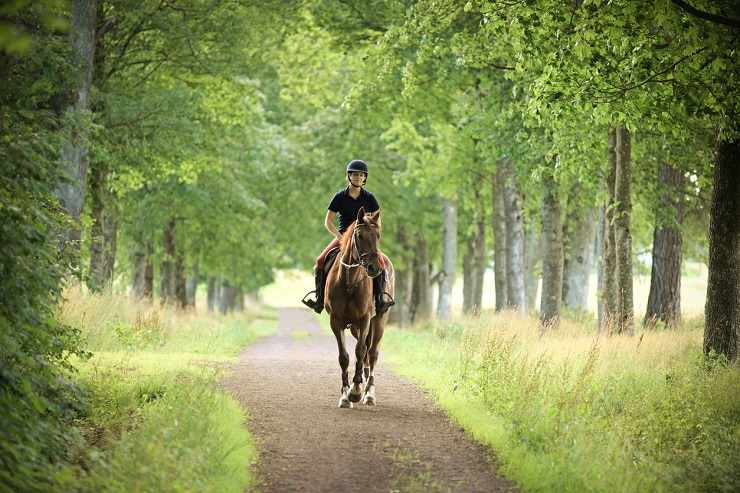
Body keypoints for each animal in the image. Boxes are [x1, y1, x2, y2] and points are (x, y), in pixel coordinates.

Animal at [324, 206, 394, 406]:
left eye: (378, 235)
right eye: (360, 236)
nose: (373, 268)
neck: (349, 281)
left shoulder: (364, 320)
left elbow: (360, 351)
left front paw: (355, 391)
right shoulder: (336, 321)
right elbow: (344, 357)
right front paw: (345, 395)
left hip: (378, 321)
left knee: (372, 353)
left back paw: (369, 393)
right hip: (355, 327)